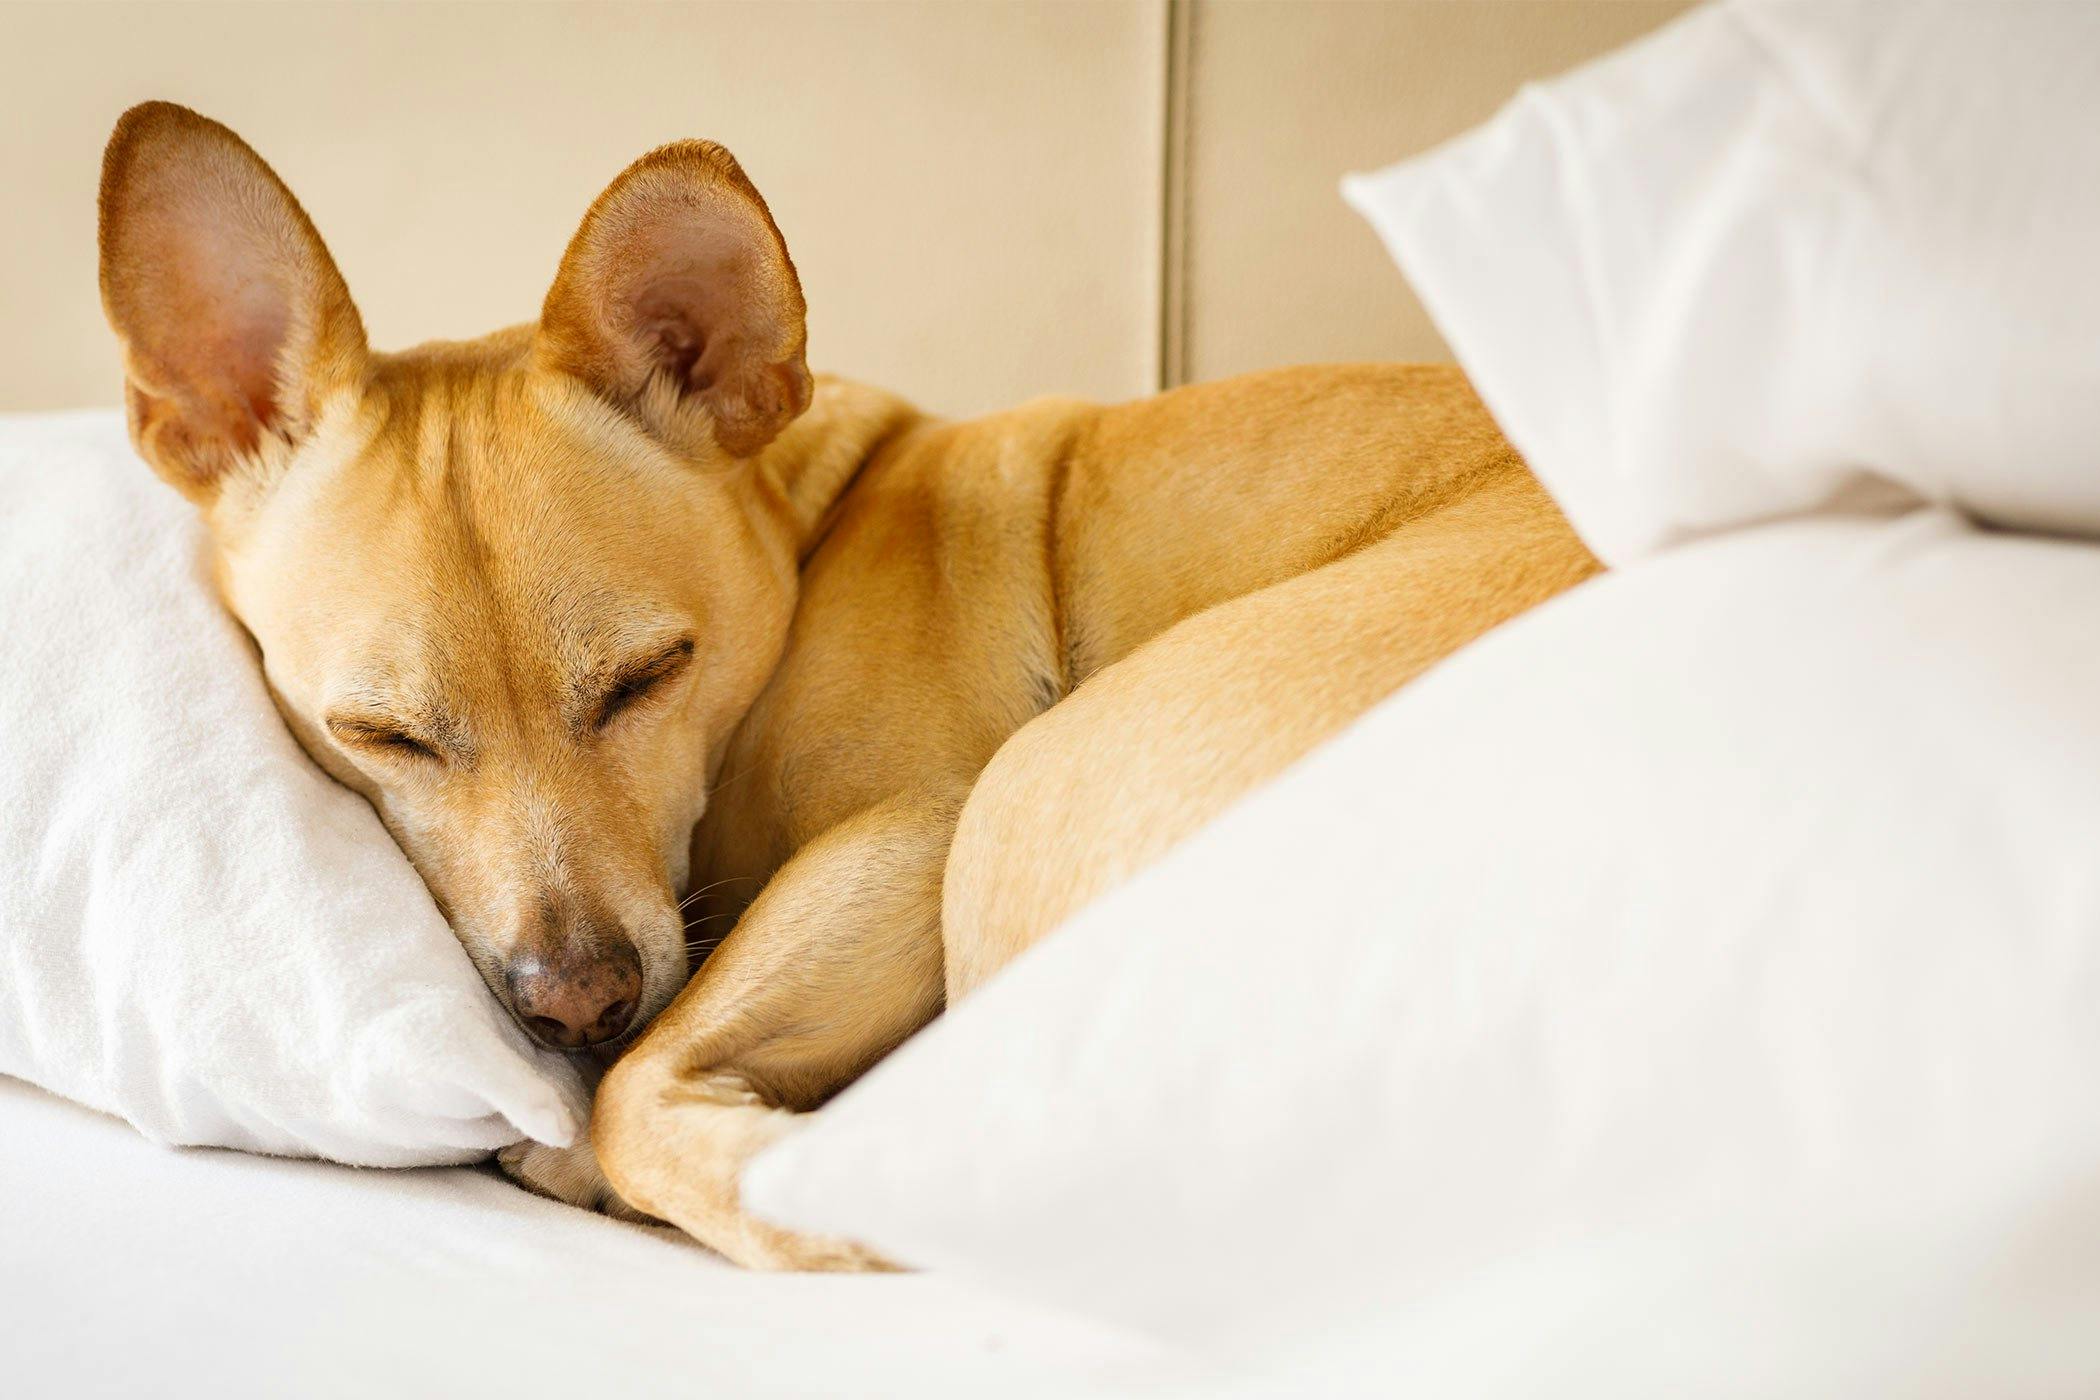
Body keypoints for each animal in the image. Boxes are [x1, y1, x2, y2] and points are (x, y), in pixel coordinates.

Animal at [98, 103, 1595, 1267]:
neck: (809, 530)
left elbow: (643, 1082)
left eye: (649, 677)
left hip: (1018, 806)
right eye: (379, 734)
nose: (573, 1001)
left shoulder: (909, 832)